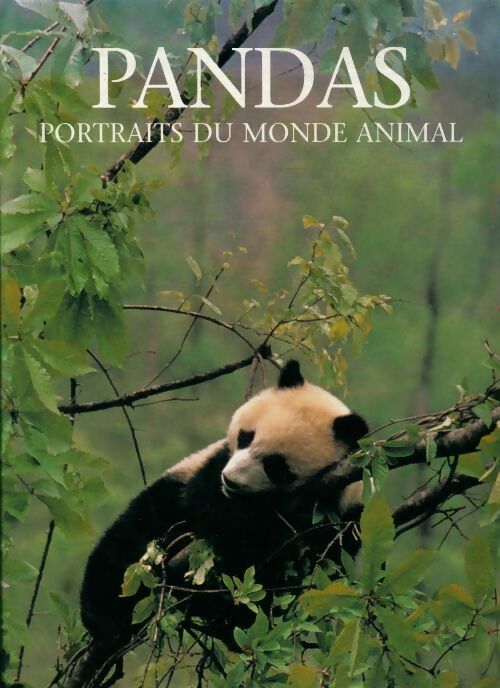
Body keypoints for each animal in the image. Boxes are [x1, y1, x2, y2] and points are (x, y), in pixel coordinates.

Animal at [80, 360, 368, 652]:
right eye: (246, 437)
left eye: (275, 465)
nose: (231, 480)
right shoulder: (211, 469)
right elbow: (212, 513)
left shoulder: (339, 522)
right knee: (125, 546)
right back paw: (106, 620)